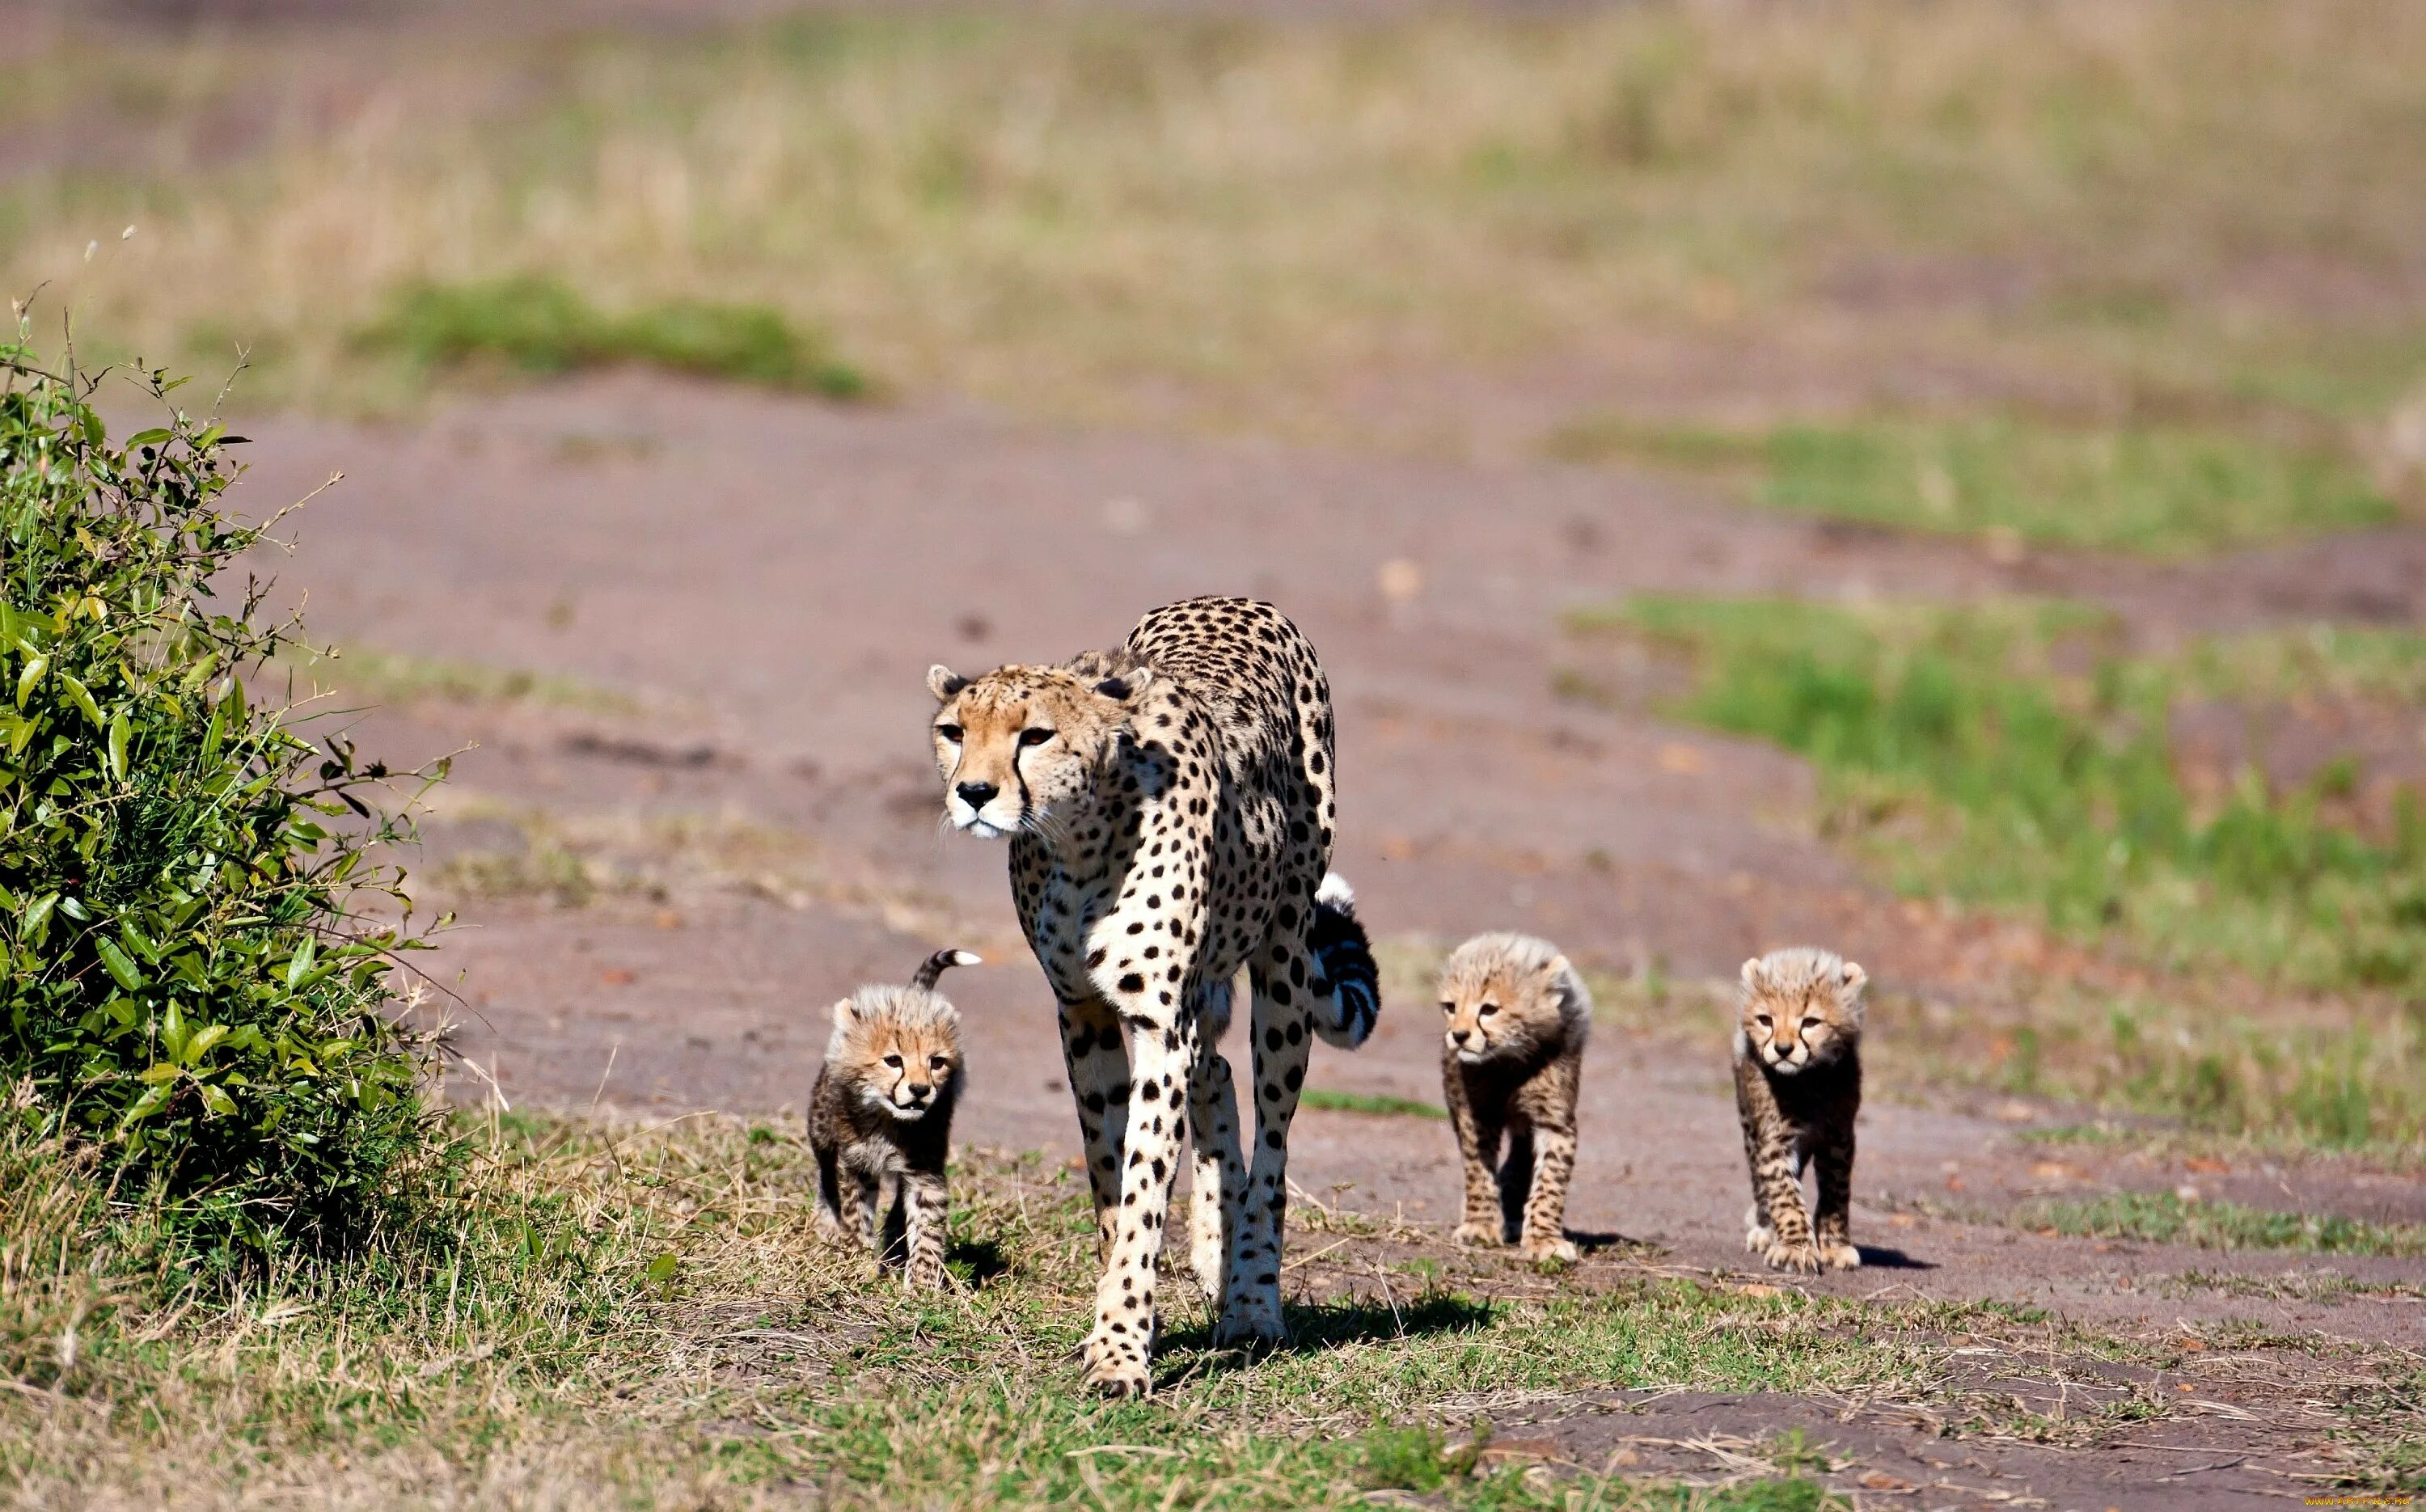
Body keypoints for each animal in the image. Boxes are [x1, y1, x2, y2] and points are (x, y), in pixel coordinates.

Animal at [927, 594, 1388, 1397]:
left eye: (1035, 734)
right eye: (955, 732)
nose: (974, 793)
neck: (1079, 841)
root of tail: (1235, 598)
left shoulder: (1157, 1025)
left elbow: (1145, 1184)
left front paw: (1120, 1352)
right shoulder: (1081, 1013)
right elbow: (1112, 1178)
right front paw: (1121, 1319)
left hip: (1284, 962)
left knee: (1272, 1145)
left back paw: (1251, 1301)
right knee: (1219, 1075)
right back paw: (1215, 1252)